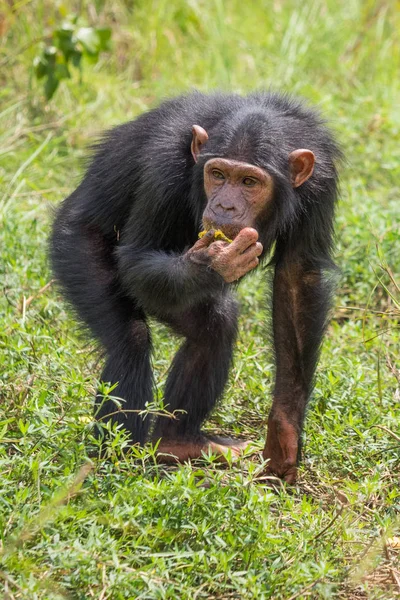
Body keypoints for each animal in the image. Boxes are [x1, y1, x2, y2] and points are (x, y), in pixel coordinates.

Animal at [51, 90, 342, 482]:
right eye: (217, 175)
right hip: (74, 248)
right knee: (130, 340)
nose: (225, 205)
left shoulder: (322, 178)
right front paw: (214, 262)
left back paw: (177, 442)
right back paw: (116, 462)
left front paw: (284, 440)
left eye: (249, 182)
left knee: (213, 326)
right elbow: (137, 257)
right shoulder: (163, 169)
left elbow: (297, 278)